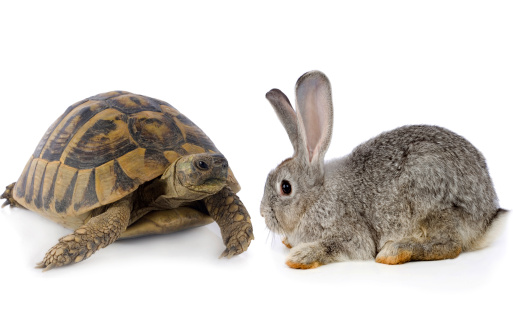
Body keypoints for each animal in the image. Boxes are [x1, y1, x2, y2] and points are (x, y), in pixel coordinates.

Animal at [262, 70, 506, 268]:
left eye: (285, 187)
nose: (262, 213)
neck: (317, 197)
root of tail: (486, 218)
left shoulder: (350, 233)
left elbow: (334, 246)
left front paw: (300, 256)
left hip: (431, 201)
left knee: (449, 245)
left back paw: (394, 252)